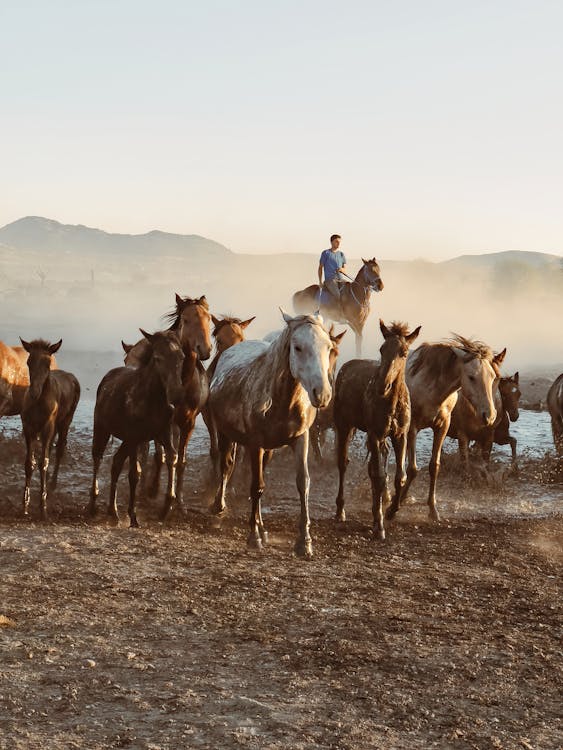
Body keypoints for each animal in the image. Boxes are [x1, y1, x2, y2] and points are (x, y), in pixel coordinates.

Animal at [18, 340, 80, 520]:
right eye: (29, 362)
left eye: (47, 363)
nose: (34, 392)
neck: (38, 404)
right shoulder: (28, 427)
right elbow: (29, 463)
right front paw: (25, 505)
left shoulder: (47, 427)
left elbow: (43, 463)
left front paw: (42, 507)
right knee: (53, 448)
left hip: (65, 421)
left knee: (59, 449)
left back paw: (52, 484)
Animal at [88, 328, 185, 528]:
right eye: (157, 358)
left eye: (181, 356)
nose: (177, 394)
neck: (153, 400)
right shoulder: (135, 437)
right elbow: (135, 473)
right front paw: (133, 516)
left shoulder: (163, 434)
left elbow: (172, 457)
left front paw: (167, 506)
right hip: (102, 429)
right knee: (98, 457)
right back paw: (92, 505)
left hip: (125, 440)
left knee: (116, 462)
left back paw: (113, 511)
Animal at [209, 312, 338, 560]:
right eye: (297, 347)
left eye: (328, 347)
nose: (322, 394)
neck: (282, 401)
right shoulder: (254, 444)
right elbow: (255, 486)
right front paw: (253, 538)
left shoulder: (301, 439)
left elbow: (303, 483)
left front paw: (304, 542)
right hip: (225, 434)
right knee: (226, 465)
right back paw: (219, 506)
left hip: (268, 449)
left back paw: (263, 527)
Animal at [332, 322, 420, 540]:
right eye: (382, 349)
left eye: (404, 352)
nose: (383, 385)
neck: (392, 404)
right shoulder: (375, 434)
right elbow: (379, 477)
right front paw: (379, 524)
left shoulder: (400, 435)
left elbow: (399, 476)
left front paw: (391, 511)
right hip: (344, 426)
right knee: (343, 464)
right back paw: (340, 511)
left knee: (374, 466)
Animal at [388, 338, 506, 524]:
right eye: (471, 377)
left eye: (494, 377)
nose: (489, 415)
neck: (432, 389)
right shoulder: (412, 428)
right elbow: (413, 469)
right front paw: (393, 507)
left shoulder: (442, 427)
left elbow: (434, 466)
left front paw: (432, 510)